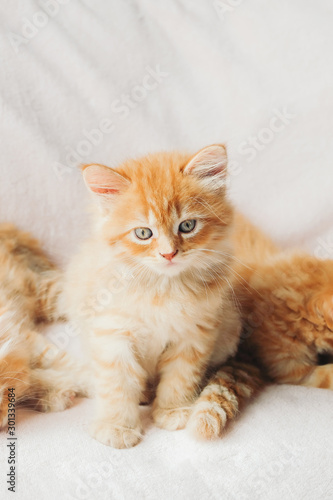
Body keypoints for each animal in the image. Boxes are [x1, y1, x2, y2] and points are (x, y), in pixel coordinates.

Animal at [0, 225, 88, 428]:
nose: (1, 423)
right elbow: (29, 381)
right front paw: (56, 395)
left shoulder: (22, 337)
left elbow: (67, 364)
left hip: (45, 292)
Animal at [60, 145, 241, 450]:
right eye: (143, 233)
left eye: (187, 226)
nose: (168, 254)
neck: (162, 289)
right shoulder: (111, 334)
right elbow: (117, 384)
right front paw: (117, 426)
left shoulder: (194, 334)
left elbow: (180, 376)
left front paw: (172, 410)